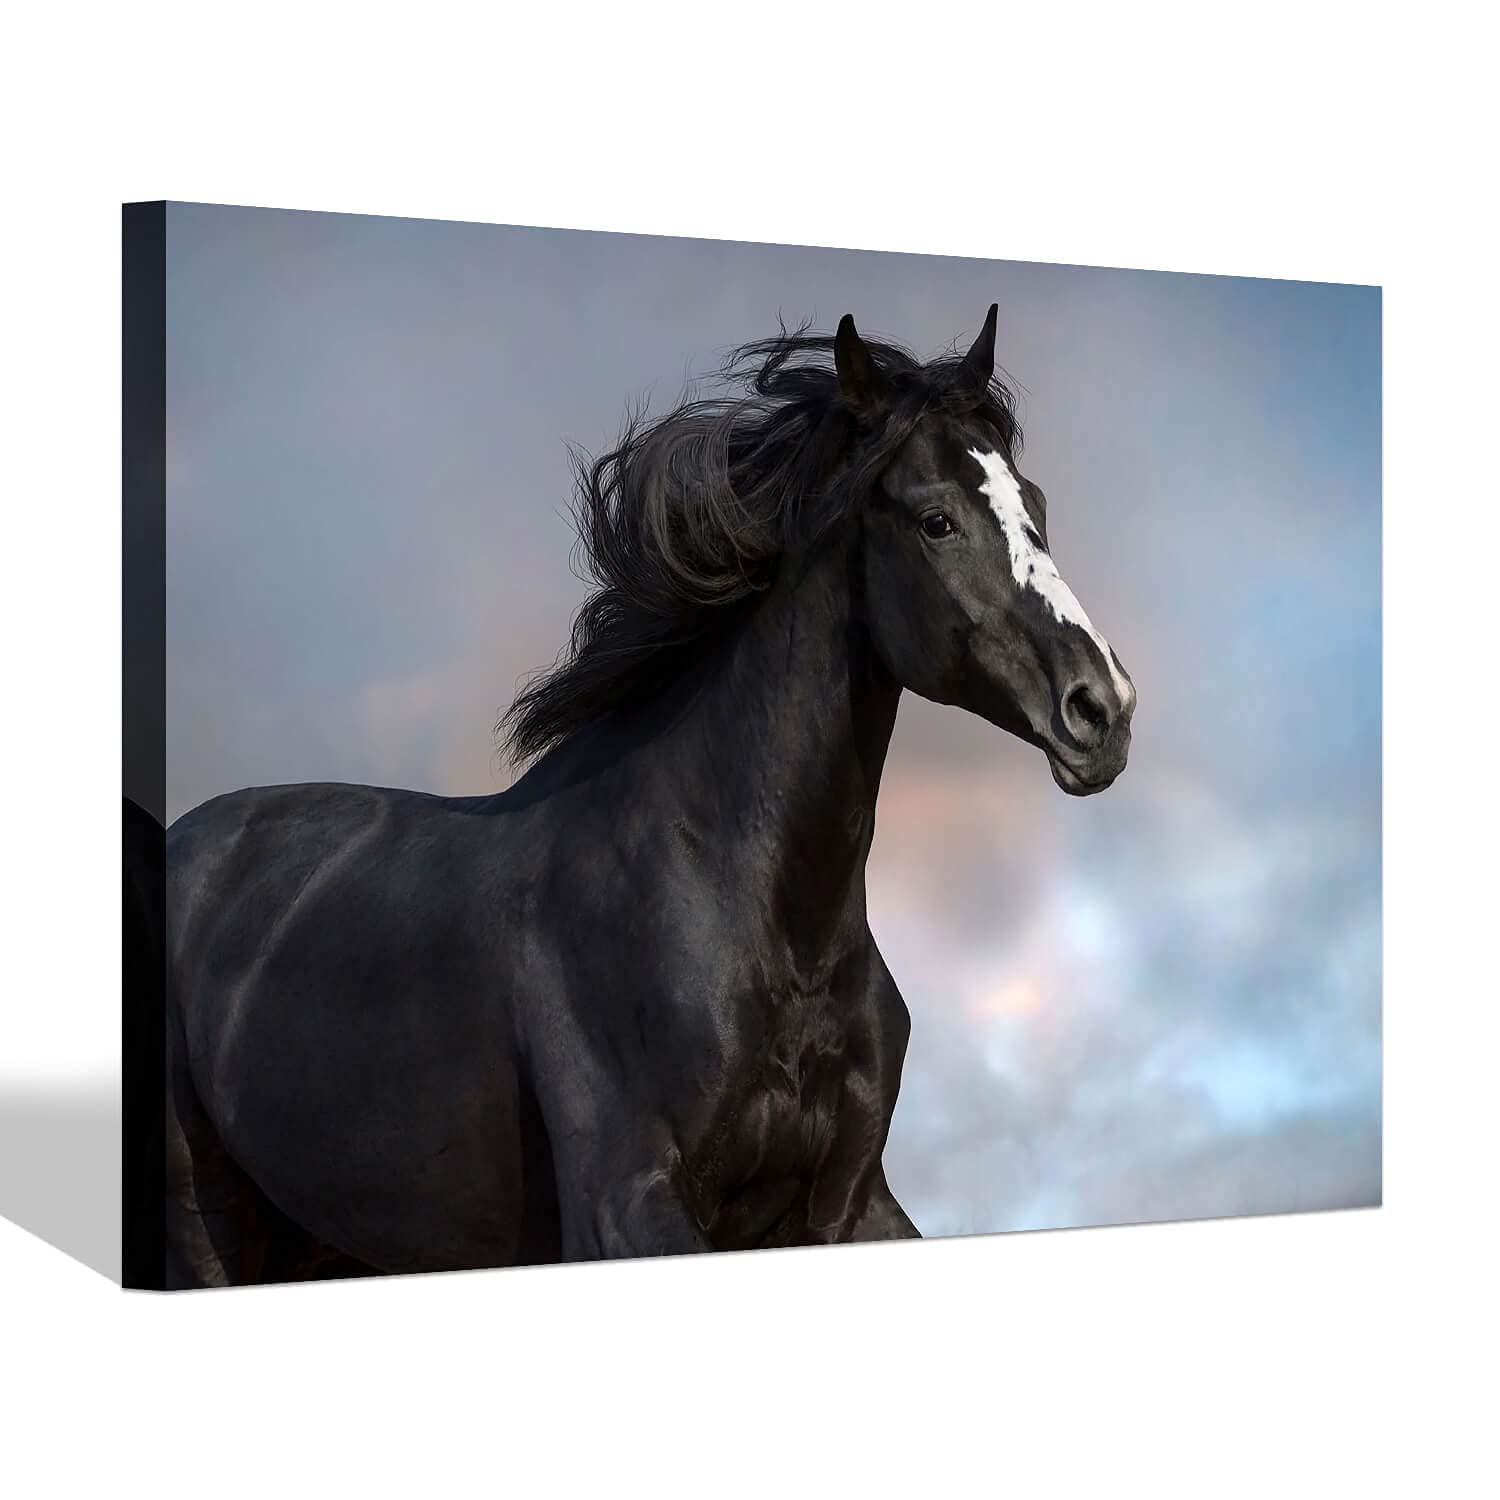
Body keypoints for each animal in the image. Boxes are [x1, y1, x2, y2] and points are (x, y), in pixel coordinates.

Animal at [163, 306, 1136, 1285]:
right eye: (937, 520)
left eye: (1036, 506)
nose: (1104, 709)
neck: (766, 928)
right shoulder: (623, 1203)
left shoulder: (850, 1201)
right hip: (205, 1217)